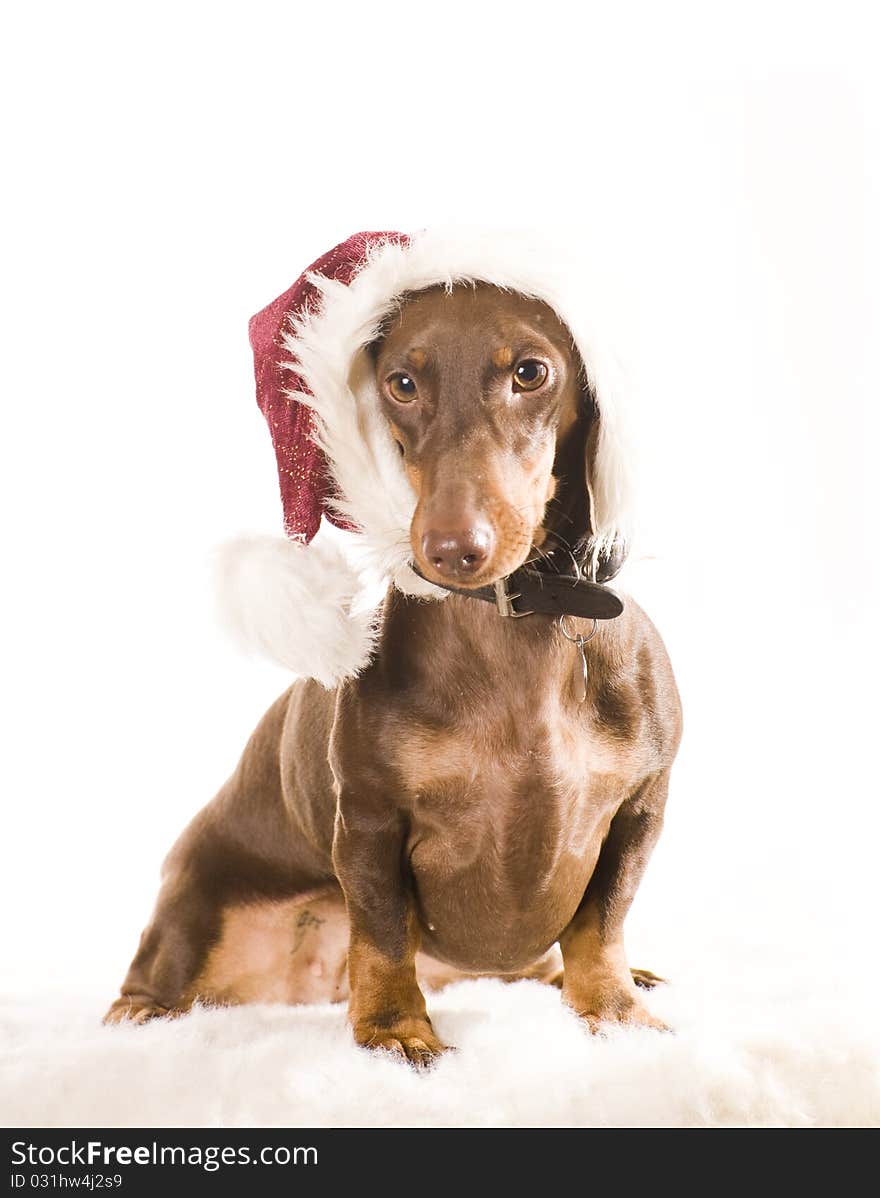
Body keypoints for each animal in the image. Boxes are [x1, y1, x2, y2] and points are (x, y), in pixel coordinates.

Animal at [102, 282, 680, 1068]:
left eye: (531, 372)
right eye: (401, 384)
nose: (452, 548)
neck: (513, 625)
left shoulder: (640, 807)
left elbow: (602, 922)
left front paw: (614, 1010)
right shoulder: (371, 819)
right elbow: (380, 934)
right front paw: (394, 1030)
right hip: (195, 909)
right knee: (155, 976)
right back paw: (138, 1011)